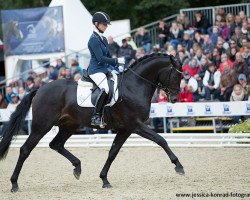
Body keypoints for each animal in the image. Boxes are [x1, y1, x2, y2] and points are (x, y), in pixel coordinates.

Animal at [0, 53, 184, 192]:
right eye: (176, 75)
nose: (175, 99)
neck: (134, 85)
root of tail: (39, 89)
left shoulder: (125, 129)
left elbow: (113, 152)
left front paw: (104, 179)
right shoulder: (135, 125)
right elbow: (161, 140)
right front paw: (178, 166)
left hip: (69, 125)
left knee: (56, 144)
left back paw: (77, 167)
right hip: (42, 126)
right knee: (25, 149)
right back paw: (14, 184)